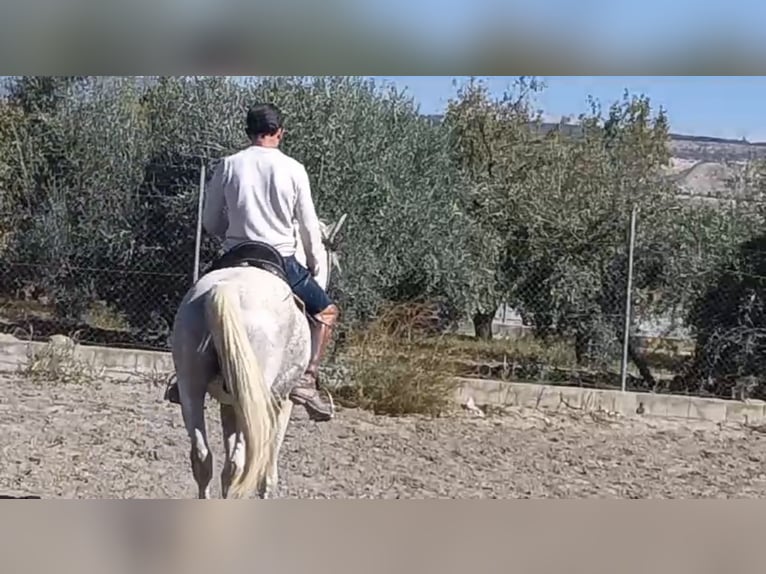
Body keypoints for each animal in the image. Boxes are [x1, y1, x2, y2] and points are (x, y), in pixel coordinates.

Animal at [172, 216, 348, 500]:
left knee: (203, 458)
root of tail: (227, 289)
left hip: (192, 388)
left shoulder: (229, 404)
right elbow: (268, 465)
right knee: (238, 465)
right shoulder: (282, 401)